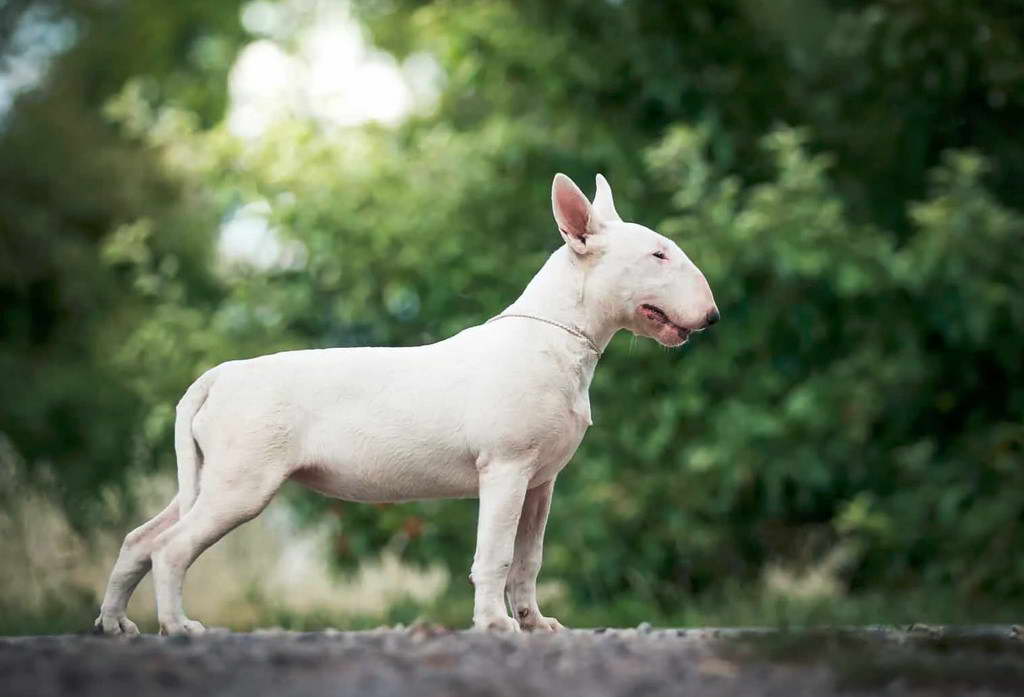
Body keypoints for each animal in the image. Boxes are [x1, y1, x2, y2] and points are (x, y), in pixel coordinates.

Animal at [97, 170, 720, 634]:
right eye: (659, 256)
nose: (713, 316)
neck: (556, 337)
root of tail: (219, 376)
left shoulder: (540, 482)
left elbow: (528, 559)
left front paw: (535, 623)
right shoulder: (505, 469)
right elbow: (495, 554)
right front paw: (495, 625)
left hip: (210, 478)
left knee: (140, 540)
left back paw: (116, 625)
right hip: (241, 485)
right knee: (171, 548)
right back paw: (179, 628)